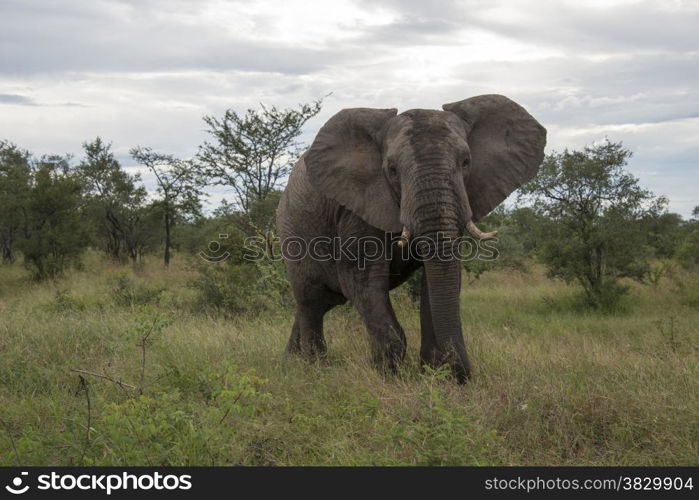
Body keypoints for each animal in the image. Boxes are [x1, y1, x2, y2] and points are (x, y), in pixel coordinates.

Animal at [274, 94, 548, 382]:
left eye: (466, 162)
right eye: (392, 169)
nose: (462, 375)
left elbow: (439, 276)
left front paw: (434, 373)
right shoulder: (357, 206)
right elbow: (362, 279)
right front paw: (388, 375)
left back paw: (290, 362)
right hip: (292, 230)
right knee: (311, 299)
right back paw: (313, 368)